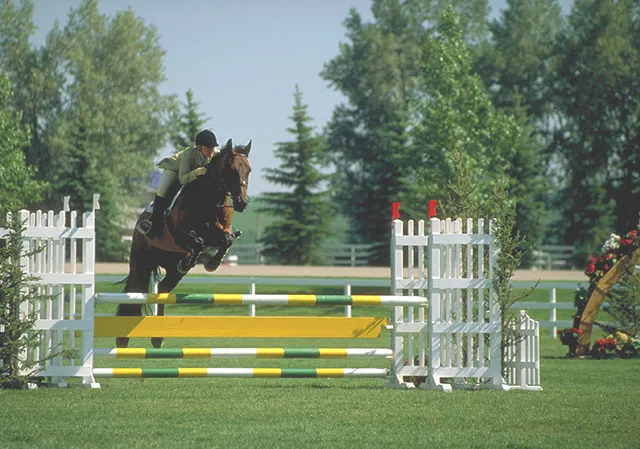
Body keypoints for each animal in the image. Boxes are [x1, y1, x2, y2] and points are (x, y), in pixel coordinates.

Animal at [116, 138, 251, 348]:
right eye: (232, 169)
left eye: (249, 170)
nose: (241, 202)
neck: (209, 199)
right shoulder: (180, 234)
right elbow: (198, 241)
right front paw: (195, 260)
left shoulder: (219, 233)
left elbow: (226, 240)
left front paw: (212, 263)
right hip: (141, 261)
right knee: (135, 290)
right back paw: (123, 341)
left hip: (172, 272)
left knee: (163, 290)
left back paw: (158, 339)